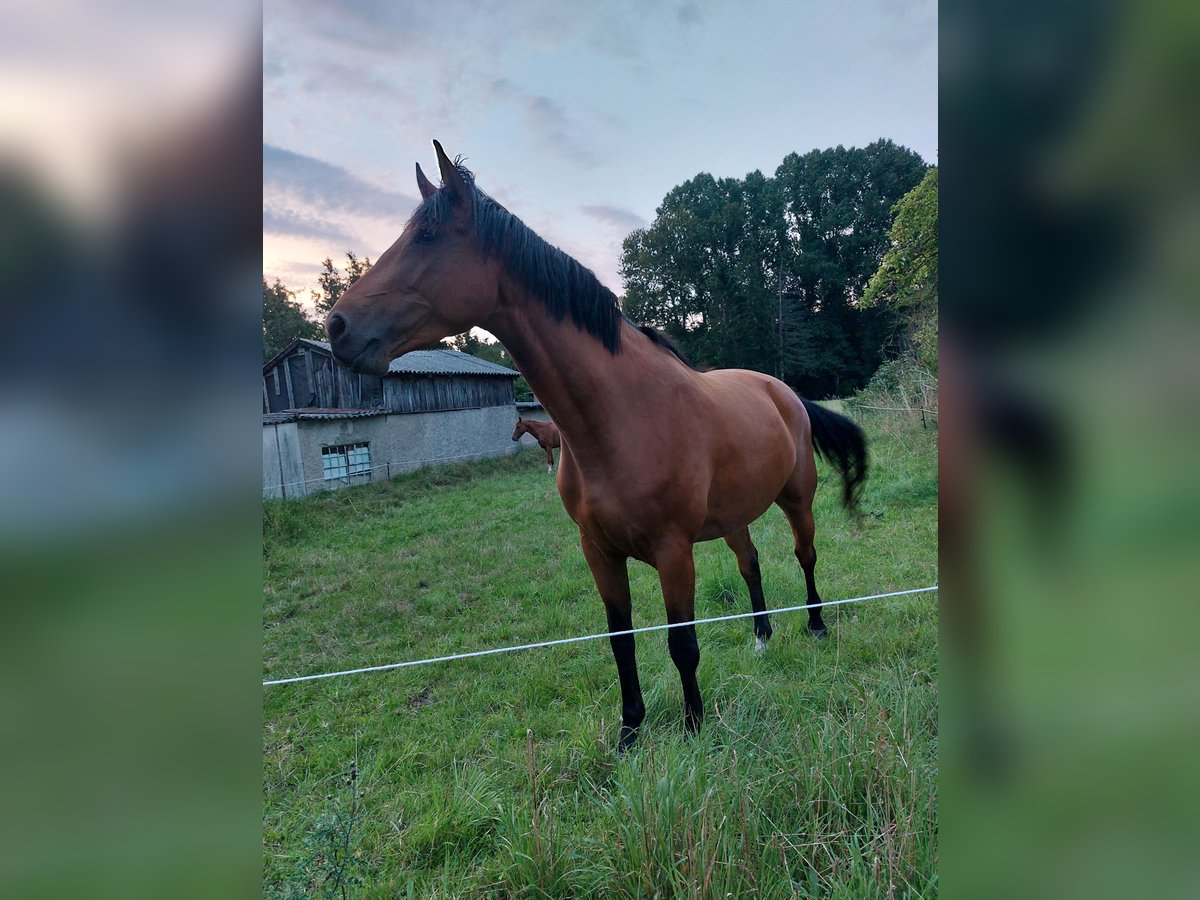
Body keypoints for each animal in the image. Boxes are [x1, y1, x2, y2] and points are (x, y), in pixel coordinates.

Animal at [324, 141, 868, 753]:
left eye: (426, 237)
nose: (337, 326)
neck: (619, 416)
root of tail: (783, 391)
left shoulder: (673, 552)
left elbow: (682, 643)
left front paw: (693, 724)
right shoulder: (599, 551)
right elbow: (620, 639)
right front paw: (630, 730)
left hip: (797, 500)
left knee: (805, 555)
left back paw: (816, 625)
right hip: (734, 516)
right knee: (750, 565)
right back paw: (761, 635)